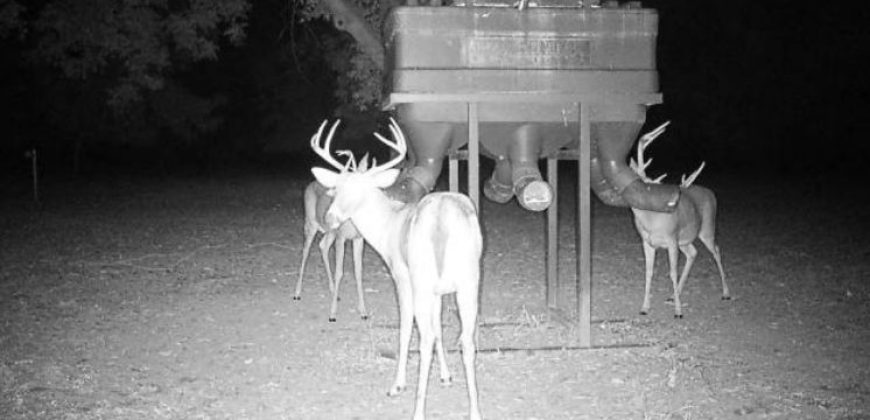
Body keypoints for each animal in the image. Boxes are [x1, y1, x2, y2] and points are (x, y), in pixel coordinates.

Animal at [296, 120, 368, 324]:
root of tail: (311, 183)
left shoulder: (359, 239)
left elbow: (358, 272)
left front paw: (363, 312)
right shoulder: (342, 237)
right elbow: (340, 271)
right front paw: (332, 314)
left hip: (329, 231)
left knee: (322, 246)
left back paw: (333, 291)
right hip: (310, 222)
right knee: (305, 251)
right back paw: (297, 293)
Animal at [310, 117, 484, 420]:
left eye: (361, 190)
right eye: (337, 189)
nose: (330, 217)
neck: (388, 226)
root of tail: (442, 221)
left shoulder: (401, 276)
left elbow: (406, 330)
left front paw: (397, 385)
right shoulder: (439, 291)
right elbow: (440, 328)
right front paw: (446, 377)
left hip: (422, 278)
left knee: (424, 337)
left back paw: (417, 409)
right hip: (469, 280)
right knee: (467, 339)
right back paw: (475, 411)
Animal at [632, 121, 732, 318]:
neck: (651, 221)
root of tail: (710, 192)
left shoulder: (671, 238)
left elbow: (672, 272)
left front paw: (678, 312)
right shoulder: (647, 242)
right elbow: (649, 272)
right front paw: (644, 307)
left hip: (707, 228)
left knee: (716, 250)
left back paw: (726, 293)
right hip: (685, 240)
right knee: (693, 253)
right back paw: (673, 295)